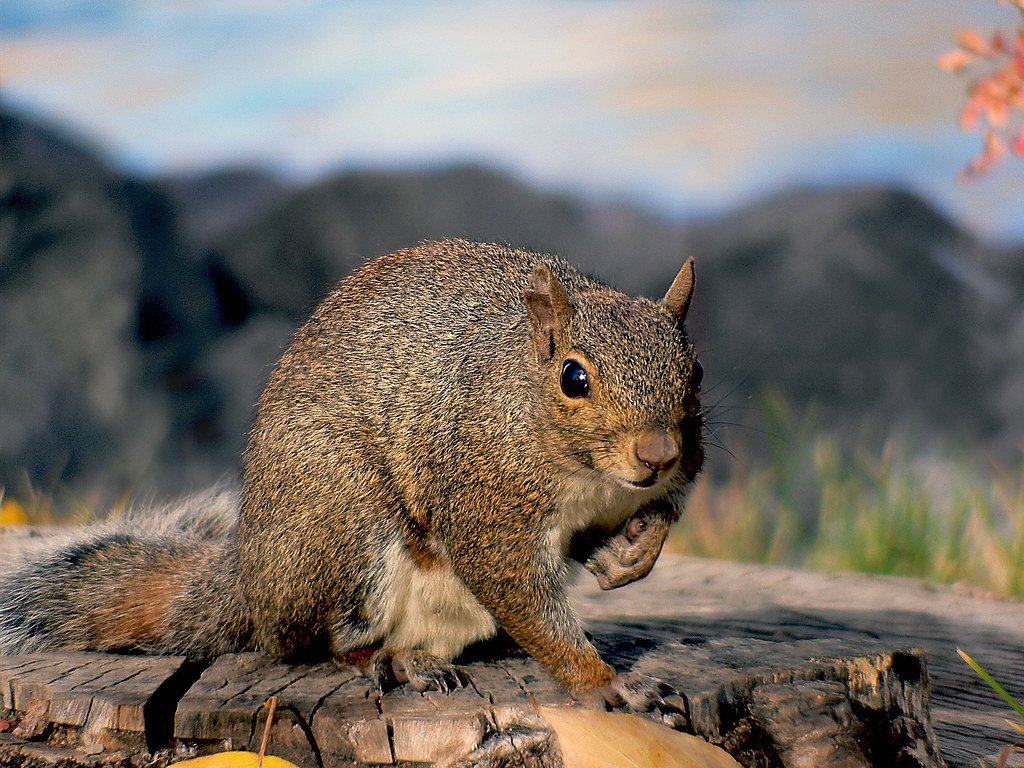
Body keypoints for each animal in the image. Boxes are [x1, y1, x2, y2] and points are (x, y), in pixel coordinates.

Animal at [0, 239, 704, 713]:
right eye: (574, 378)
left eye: (694, 370)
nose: (659, 454)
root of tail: (252, 584)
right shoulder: (487, 501)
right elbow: (522, 593)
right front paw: (606, 683)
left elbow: (640, 526)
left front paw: (633, 553)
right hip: (349, 532)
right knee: (328, 642)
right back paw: (399, 662)